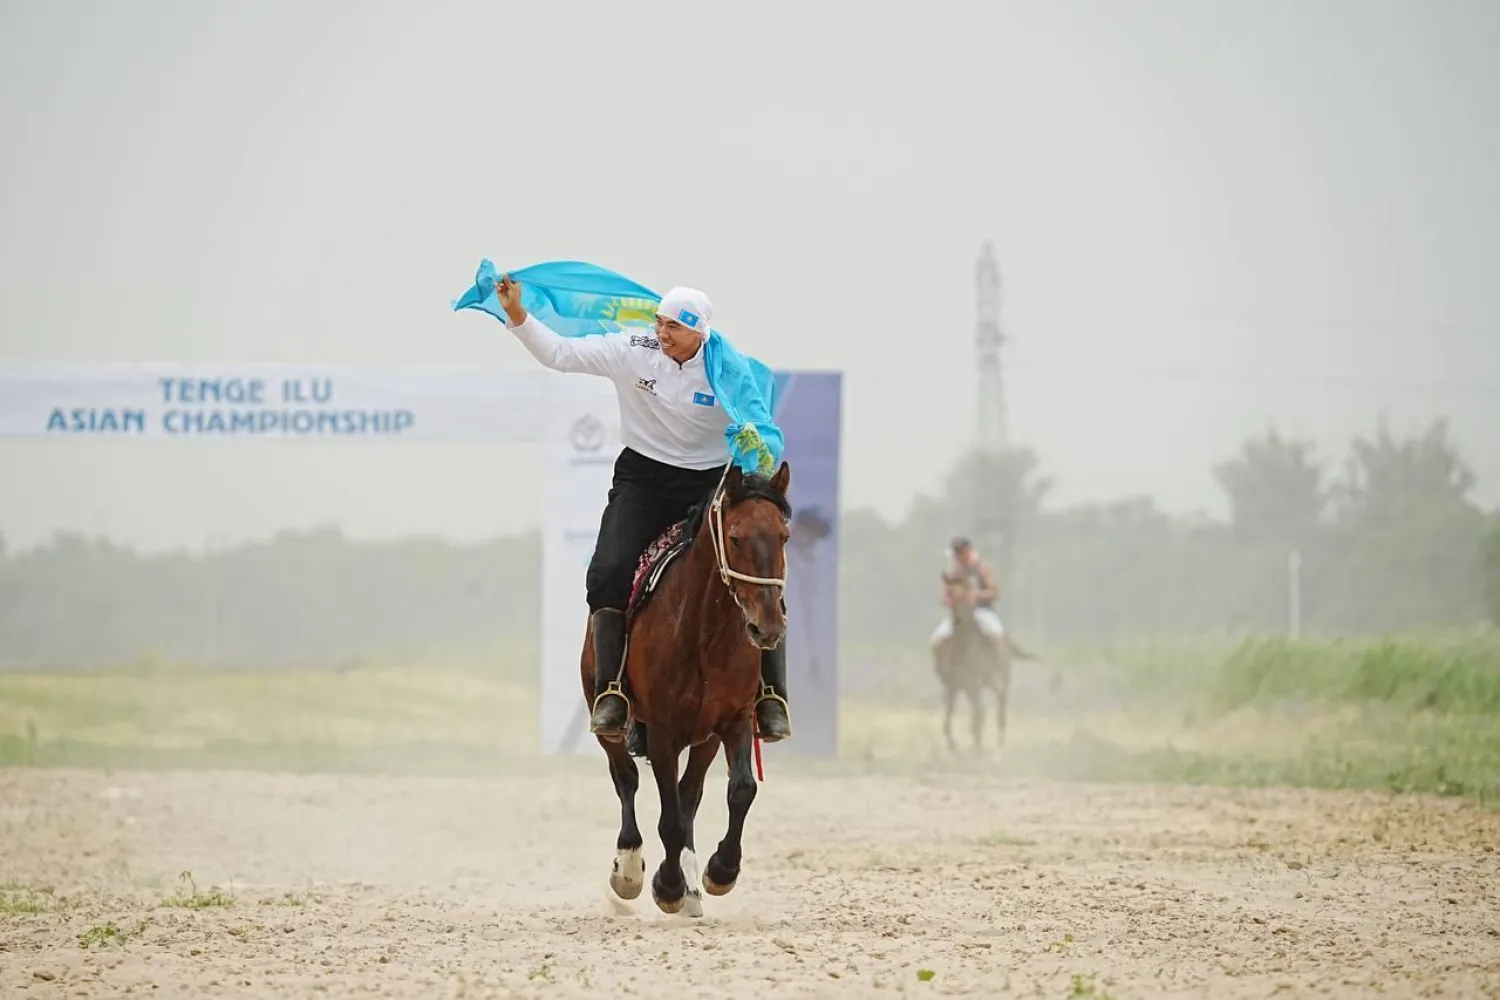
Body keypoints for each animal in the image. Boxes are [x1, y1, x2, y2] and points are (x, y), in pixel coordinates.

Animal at [576, 458, 798, 917]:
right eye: (735, 537)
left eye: (783, 536)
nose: (767, 627)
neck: (703, 633)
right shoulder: (663, 730)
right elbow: (669, 818)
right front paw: (667, 885)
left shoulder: (733, 720)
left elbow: (740, 791)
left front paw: (719, 872)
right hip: (607, 716)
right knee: (626, 778)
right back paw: (630, 870)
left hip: (705, 737)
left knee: (689, 792)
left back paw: (693, 883)